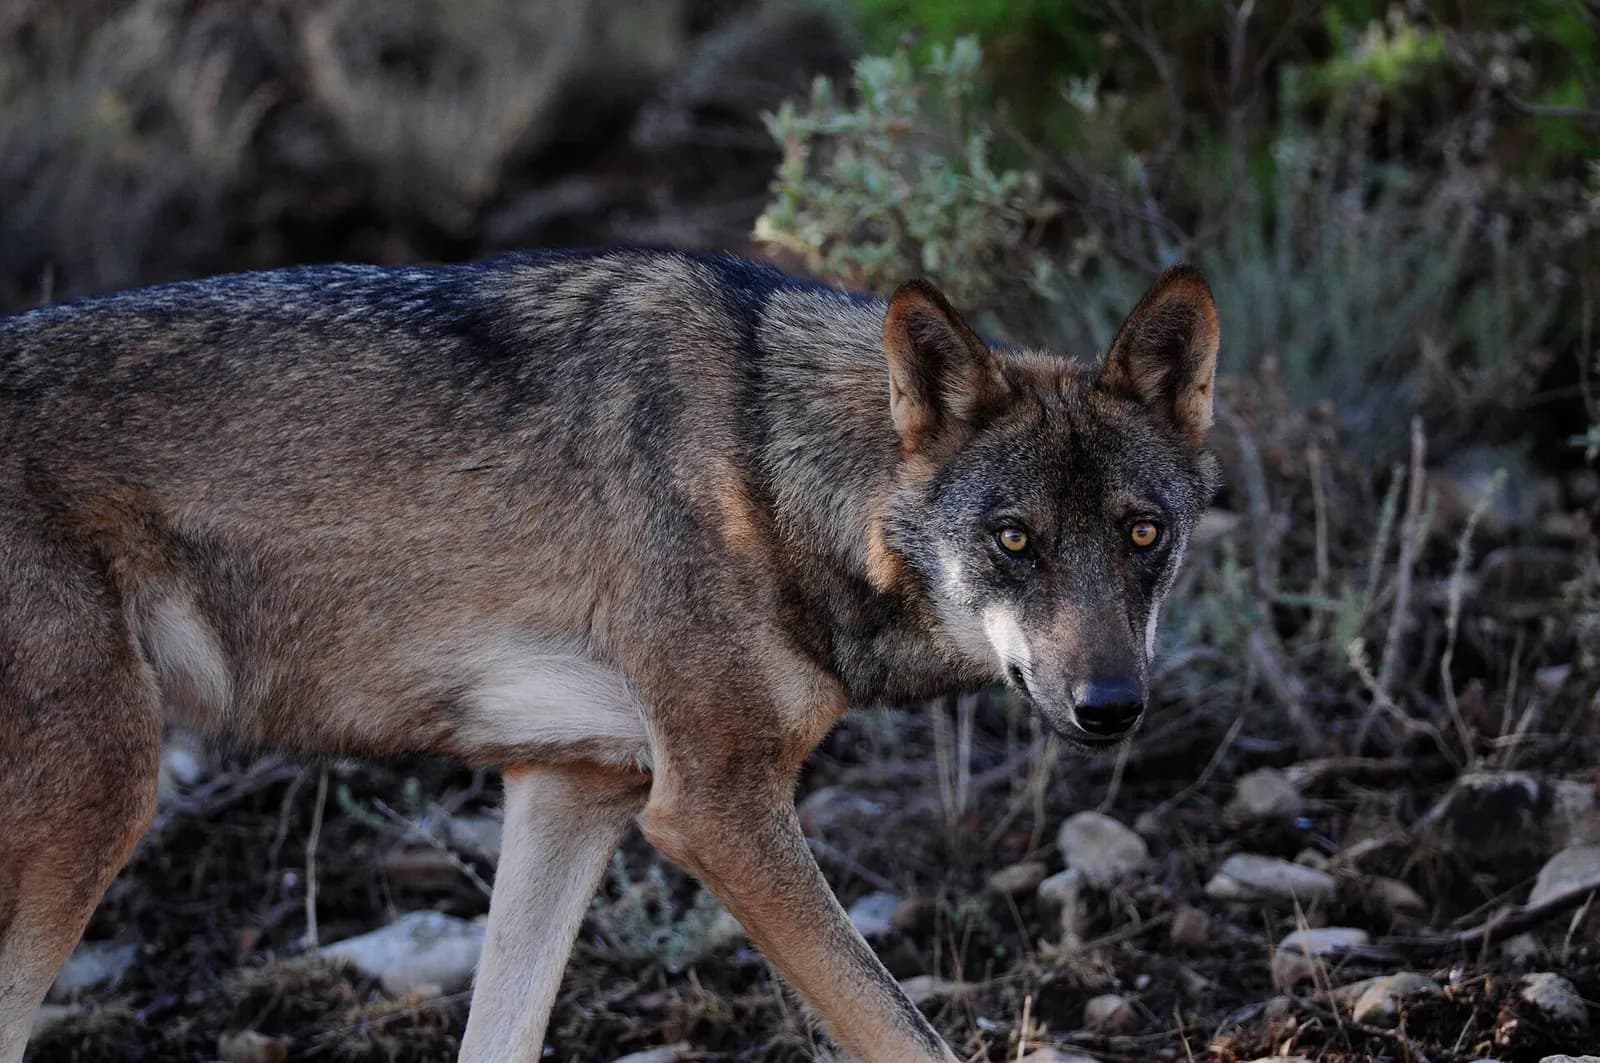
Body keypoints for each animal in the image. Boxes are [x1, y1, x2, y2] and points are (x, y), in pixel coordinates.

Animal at [0, 248, 1219, 1062]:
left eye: (1142, 535)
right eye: (1014, 540)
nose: (1112, 705)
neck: (768, 470)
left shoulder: (573, 786)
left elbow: (501, 1032)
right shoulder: (715, 809)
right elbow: (903, 1029)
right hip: (105, 795)